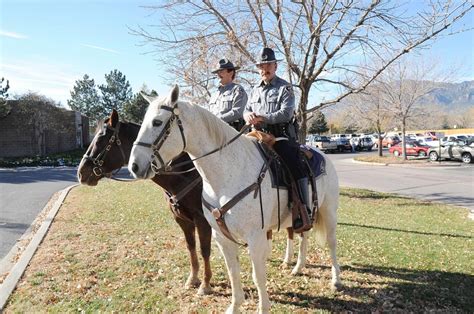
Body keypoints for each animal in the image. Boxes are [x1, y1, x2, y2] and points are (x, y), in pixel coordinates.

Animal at [77, 110, 211, 294]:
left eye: (99, 140)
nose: (81, 173)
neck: (185, 174)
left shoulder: (202, 220)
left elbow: (205, 250)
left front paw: (205, 284)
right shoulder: (182, 220)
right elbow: (191, 246)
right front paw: (193, 279)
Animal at [128, 86, 338, 314]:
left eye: (157, 122)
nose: (134, 166)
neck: (226, 174)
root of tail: (320, 155)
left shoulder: (255, 237)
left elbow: (258, 276)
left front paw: (263, 308)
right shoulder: (222, 237)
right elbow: (233, 272)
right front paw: (235, 305)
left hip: (328, 211)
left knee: (331, 242)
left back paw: (336, 279)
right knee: (303, 236)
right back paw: (298, 267)